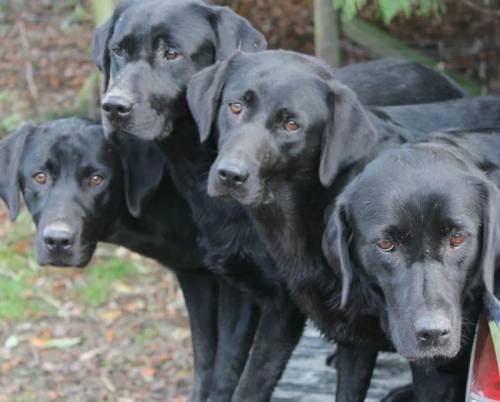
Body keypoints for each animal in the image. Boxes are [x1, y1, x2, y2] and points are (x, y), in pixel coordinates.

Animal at [0, 118, 258, 402]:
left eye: (96, 179)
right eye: (40, 177)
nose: (57, 241)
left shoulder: (242, 287)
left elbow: (227, 373)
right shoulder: (195, 276)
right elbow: (204, 364)